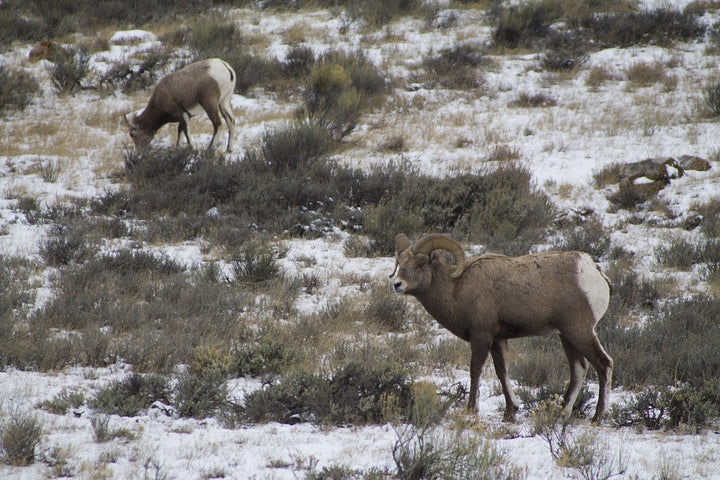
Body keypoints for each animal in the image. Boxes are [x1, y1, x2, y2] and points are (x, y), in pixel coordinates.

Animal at [394, 234, 612, 422]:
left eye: (420, 264)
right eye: (400, 263)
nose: (397, 285)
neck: (457, 288)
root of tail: (594, 271)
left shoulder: (481, 336)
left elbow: (475, 370)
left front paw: (471, 409)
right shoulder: (497, 340)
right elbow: (502, 372)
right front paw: (510, 412)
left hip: (580, 332)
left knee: (604, 364)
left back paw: (597, 417)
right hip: (567, 336)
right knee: (578, 369)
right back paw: (562, 413)